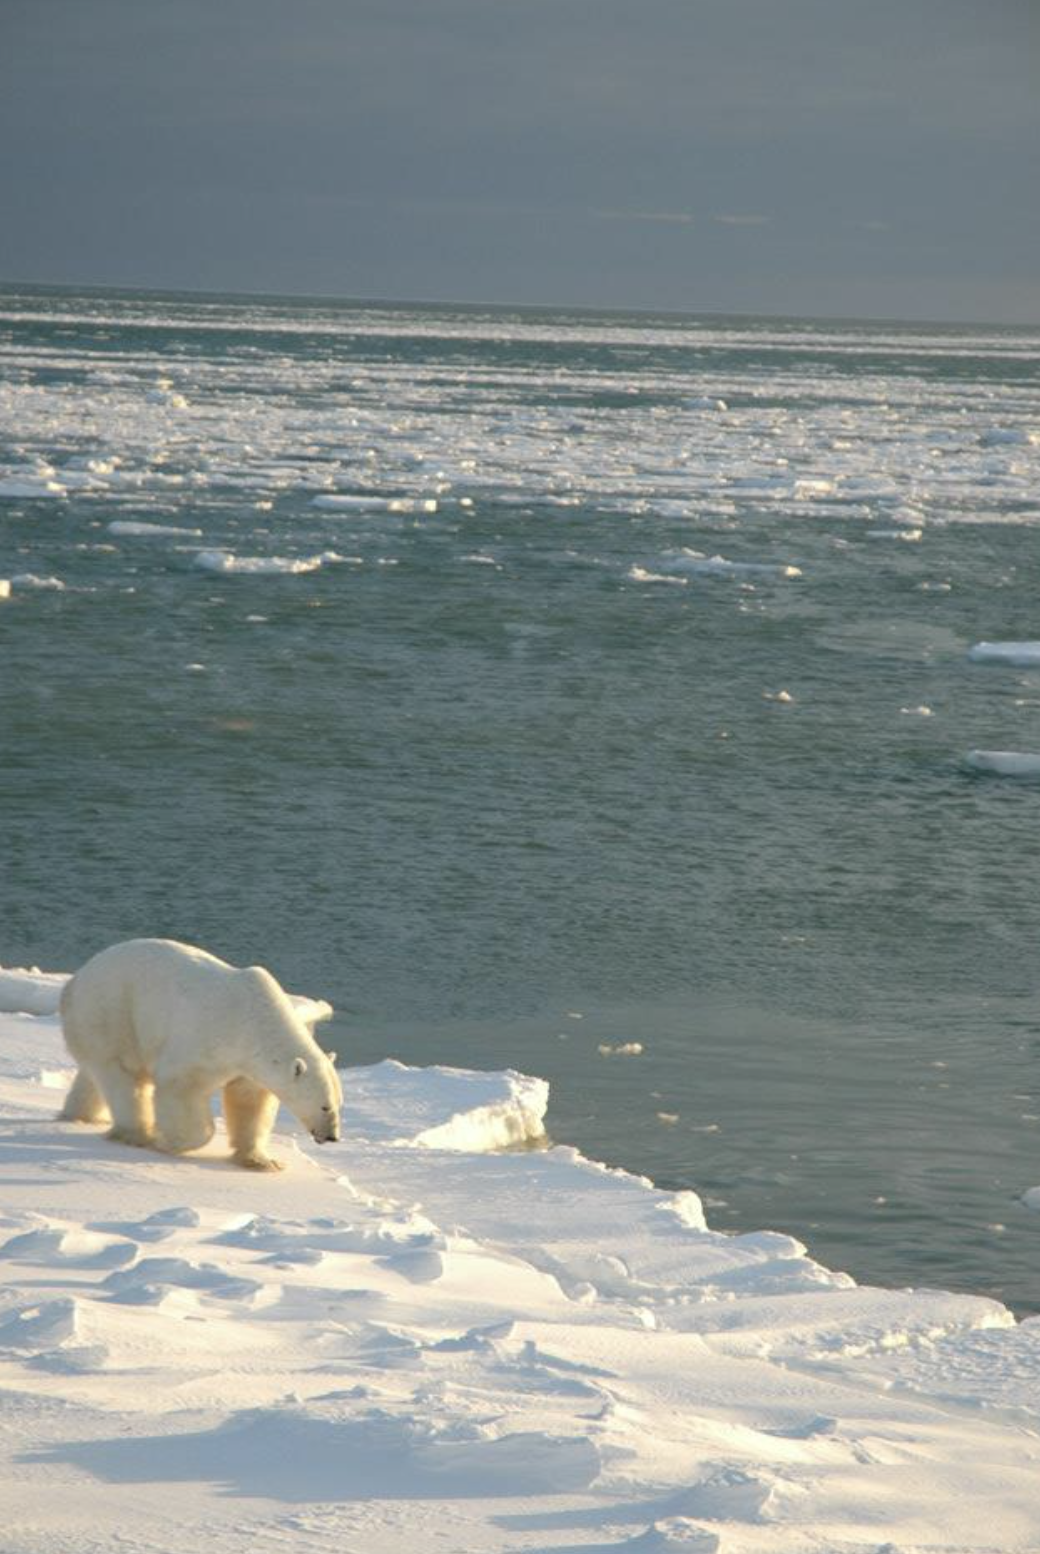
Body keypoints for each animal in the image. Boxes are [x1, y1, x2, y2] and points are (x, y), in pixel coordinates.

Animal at [58, 938, 342, 1171]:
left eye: (339, 1104)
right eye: (324, 1106)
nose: (332, 1137)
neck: (254, 1019)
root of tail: (73, 982)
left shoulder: (249, 1064)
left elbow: (249, 1102)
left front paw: (262, 1160)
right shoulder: (208, 1039)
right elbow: (181, 1086)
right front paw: (169, 1142)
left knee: (92, 1076)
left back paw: (78, 1115)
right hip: (112, 1013)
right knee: (123, 1076)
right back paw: (138, 1134)